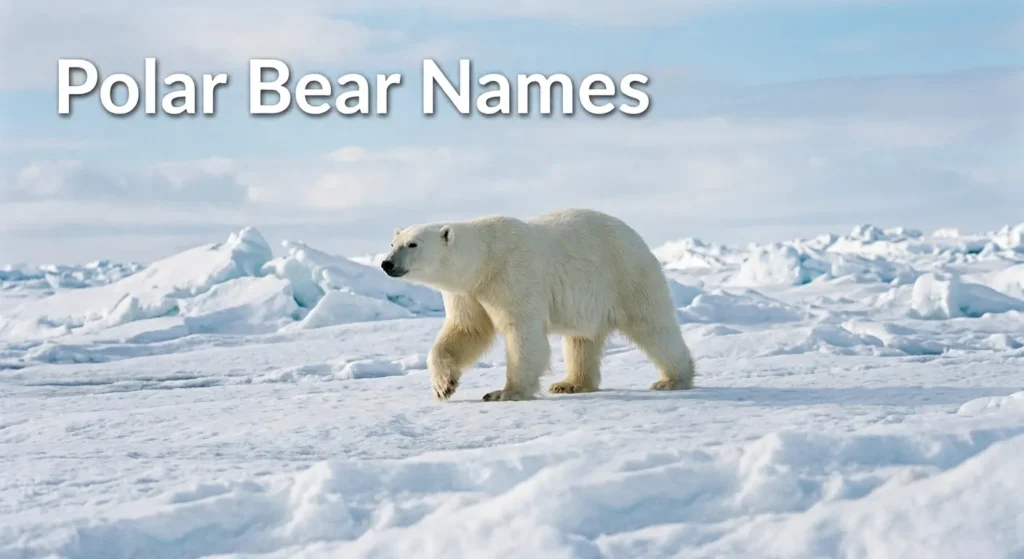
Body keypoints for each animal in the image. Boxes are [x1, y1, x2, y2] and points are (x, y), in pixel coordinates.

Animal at [381, 208, 696, 402]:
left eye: (413, 244)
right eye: (393, 243)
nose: (387, 264)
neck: (484, 259)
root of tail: (637, 237)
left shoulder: (511, 274)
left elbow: (521, 331)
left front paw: (504, 392)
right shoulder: (469, 292)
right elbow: (466, 330)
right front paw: (443, 386)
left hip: (626, 276)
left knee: (653, 327)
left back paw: (673, 379)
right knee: (581, 340)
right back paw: (571, 383)